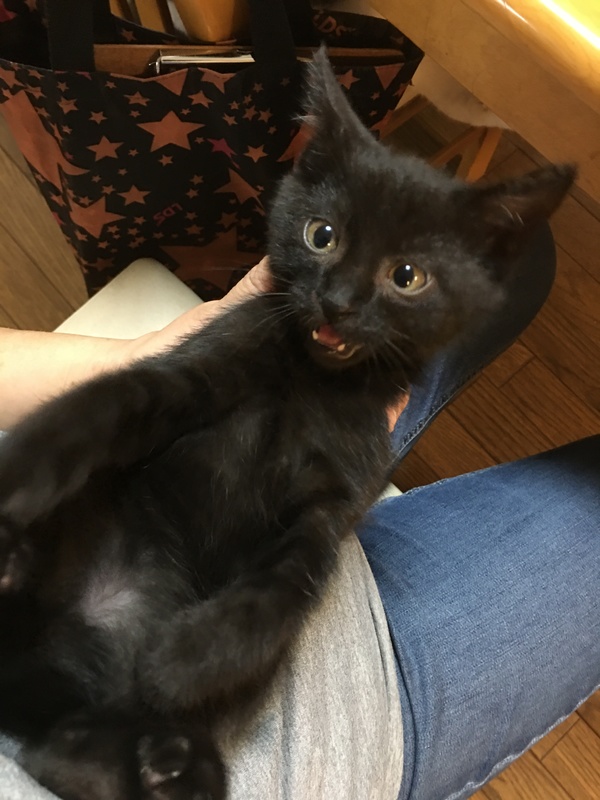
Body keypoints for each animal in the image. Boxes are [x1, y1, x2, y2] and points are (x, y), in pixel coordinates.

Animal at [0, 49, 573, 800]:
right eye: (321, 235)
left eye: (408, 276)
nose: (337, 302)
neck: (311, 384)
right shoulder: (200, 369)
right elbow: (116, 399)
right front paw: (26, 462)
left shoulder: (337, 500)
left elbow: (286, 586)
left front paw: (186, 659)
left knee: (58, 751)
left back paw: (167, 764)